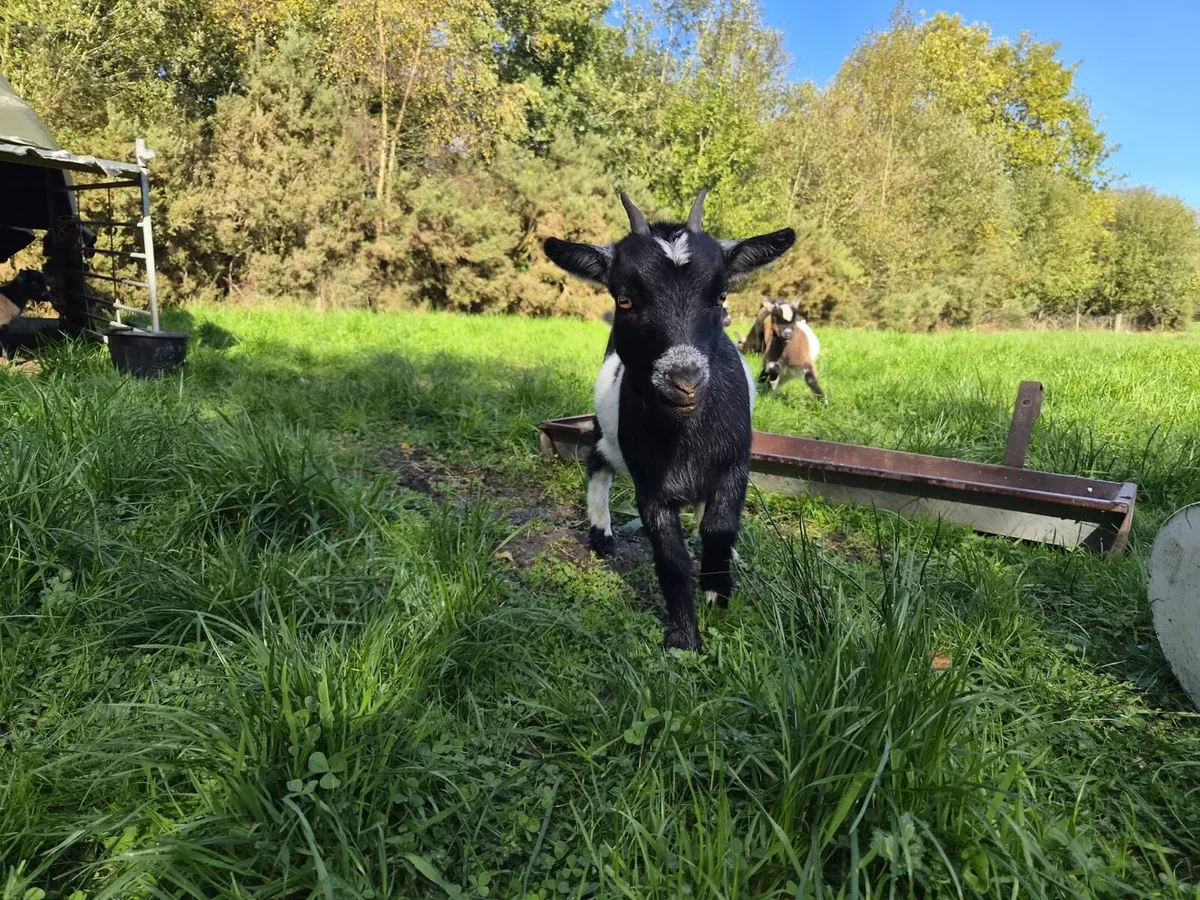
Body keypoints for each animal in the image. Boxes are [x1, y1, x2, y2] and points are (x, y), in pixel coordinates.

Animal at [545, 189, 795, 651]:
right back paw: (601, 533)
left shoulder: (735, 464)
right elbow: (671, 559)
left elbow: (719, 528)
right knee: (597, 461)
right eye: (624, 298)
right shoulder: (649, 483)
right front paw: (683, 636)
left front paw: (717, 591)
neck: (686, 436)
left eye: (721, 297)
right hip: (608, 435)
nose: (685, 381)